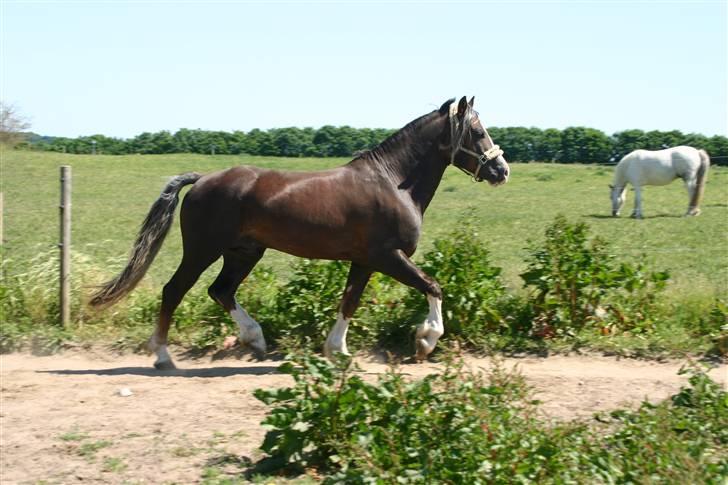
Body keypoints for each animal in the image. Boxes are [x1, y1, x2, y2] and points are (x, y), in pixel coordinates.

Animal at [91, 96, 510, 368]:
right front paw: (426, 341)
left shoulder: (365, 261)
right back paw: (163, 356)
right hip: (202, 250)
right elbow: (433, 286)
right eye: (476, 131)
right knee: (175, 291)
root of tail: (203, 179)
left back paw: (255, 339)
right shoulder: (388, 257)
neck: (393, 183)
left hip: (244, 252)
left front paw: (337, 351)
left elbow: (349, 302)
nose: (501, 170)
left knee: (220, 291)